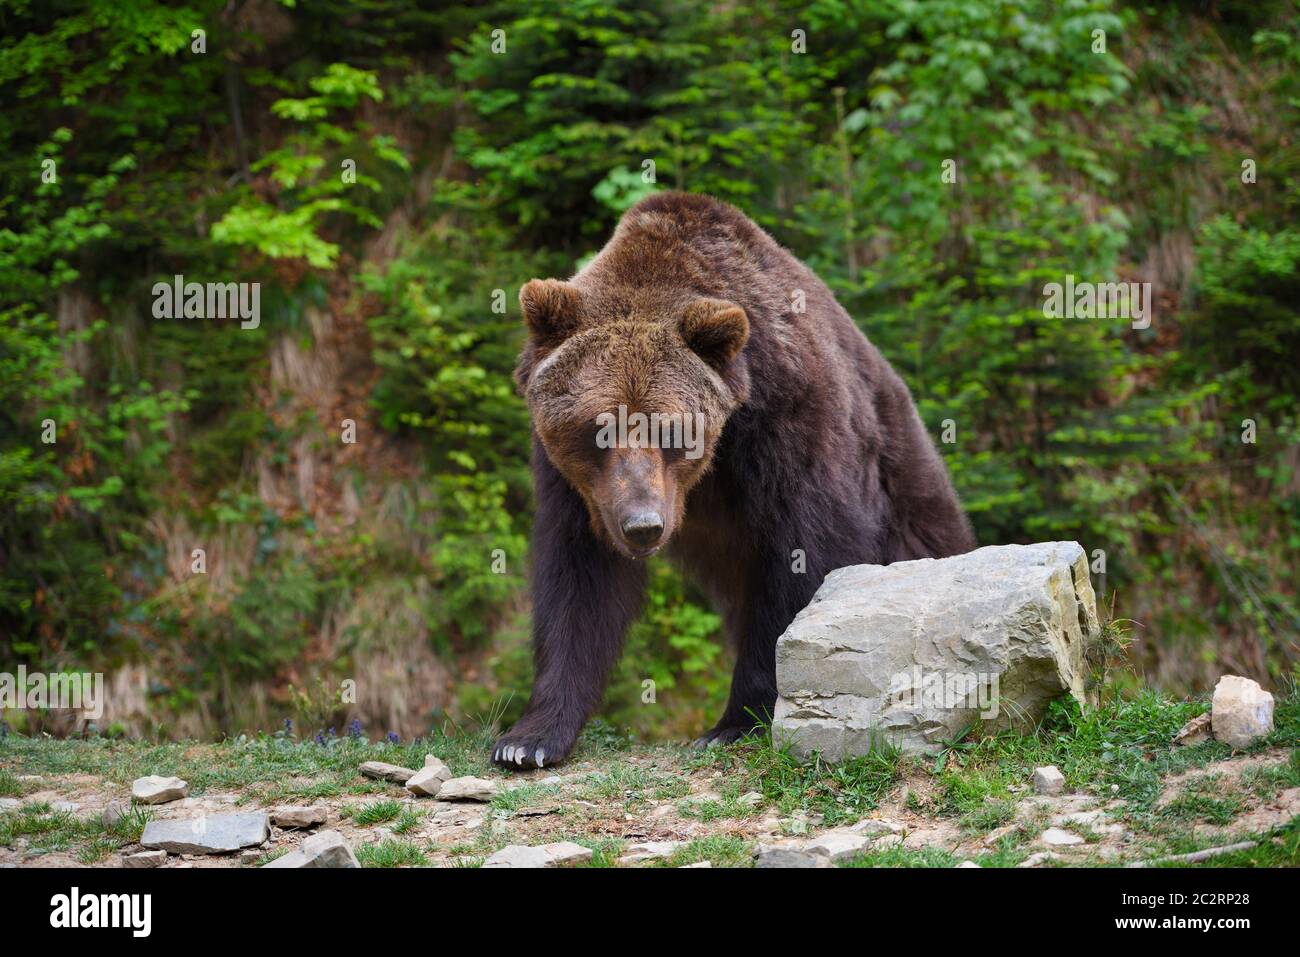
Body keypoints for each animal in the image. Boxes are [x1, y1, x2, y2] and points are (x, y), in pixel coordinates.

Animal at [492, 191, 975, 770]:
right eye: (599, 429)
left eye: (671, 429)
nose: (643, 525)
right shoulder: (576, 484)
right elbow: (579, 576)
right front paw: (530, 739)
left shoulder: (791, 414)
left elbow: (804, 556)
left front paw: (737, 720)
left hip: (905, 498)